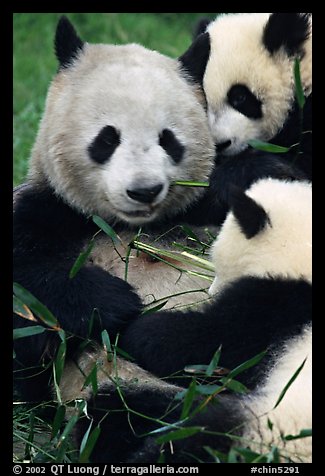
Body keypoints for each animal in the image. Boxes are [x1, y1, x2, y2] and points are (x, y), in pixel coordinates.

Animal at [13, 15, 218, 402]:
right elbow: (31, 290)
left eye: (168, 140)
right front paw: (117, 303)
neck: (129, 227)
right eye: (107, 139)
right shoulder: (52, 211)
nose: (144, 190)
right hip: (112, 381)